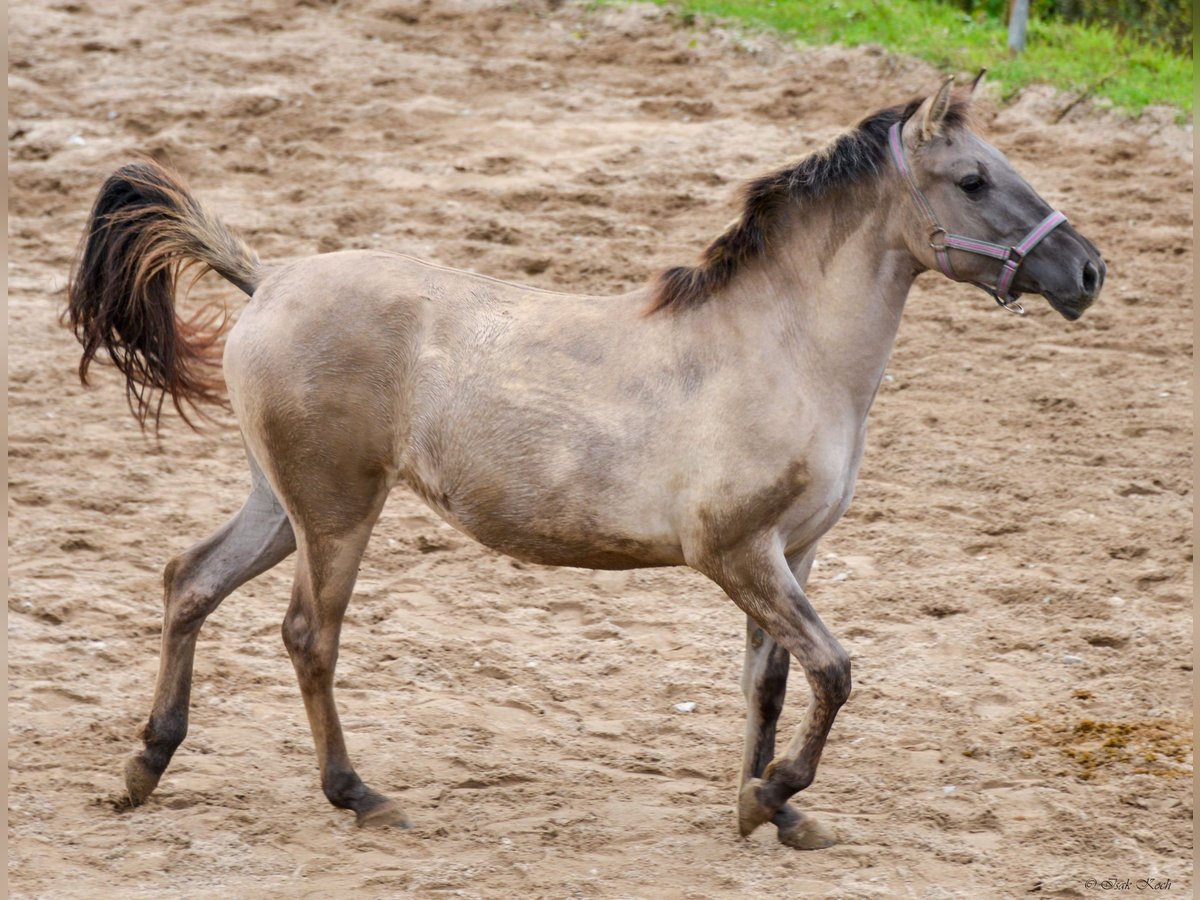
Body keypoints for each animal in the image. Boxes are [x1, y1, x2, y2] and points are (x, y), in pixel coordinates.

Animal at [64, 78, 1104, 850]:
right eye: (973, 180)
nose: (1088, 271)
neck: (782, 350)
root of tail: (271, 279)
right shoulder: (736, 553)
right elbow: (836, 670)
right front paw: (773, 794)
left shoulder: (793, 554)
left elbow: (773, 683)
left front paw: (768, 810)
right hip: (336, 512)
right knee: (308, 637)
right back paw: (359, 795)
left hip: (281, 504)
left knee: (190, 581)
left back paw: (146, 767)